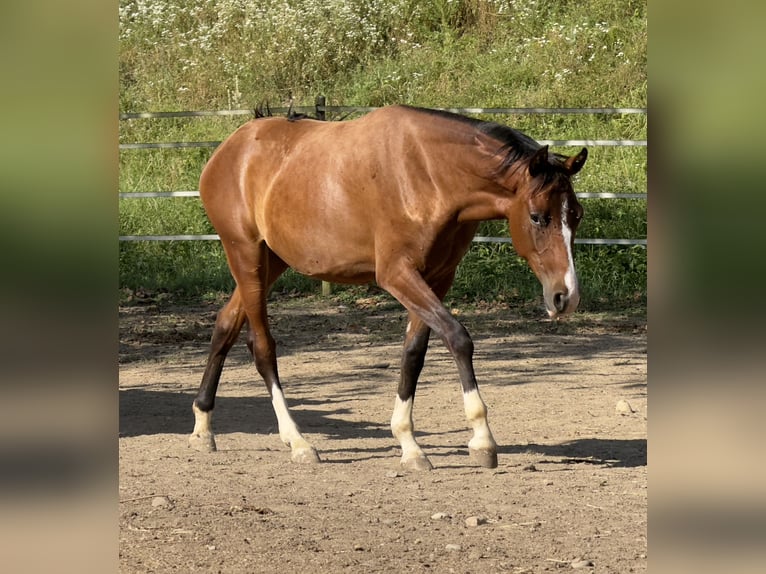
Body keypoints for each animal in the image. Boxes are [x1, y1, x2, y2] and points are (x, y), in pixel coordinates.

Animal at [190, 104, 588, 472]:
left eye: (577, 215)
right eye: (538, 217)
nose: (565, 297)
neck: (429, 176)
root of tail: (231, 147)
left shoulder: (437, 277)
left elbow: (413, 354)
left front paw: (409, 445)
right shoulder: (397, 274)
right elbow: (458, 337)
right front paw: (482, 440)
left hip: (269, 263)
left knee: (225, 324)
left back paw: (203, 426)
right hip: (246, 257)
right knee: (261, 347)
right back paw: (298, 442)